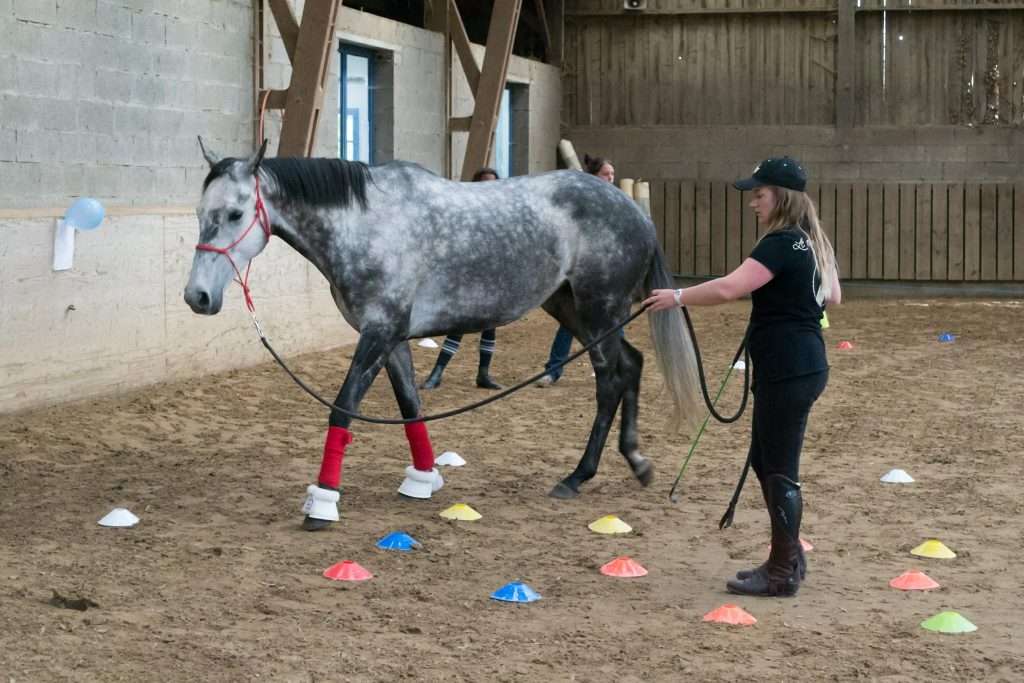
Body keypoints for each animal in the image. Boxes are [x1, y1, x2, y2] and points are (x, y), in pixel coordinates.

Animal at [184, 141, 700, 532]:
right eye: (200, 213)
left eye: (235, 214)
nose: (198, 296)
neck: (367, 224)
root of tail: (634, 210)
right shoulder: (392, 339)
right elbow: (411, 407)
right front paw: (422, 479)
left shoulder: (378, 333)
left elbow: (343, 408)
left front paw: (324, 503)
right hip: (572, 309)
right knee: (630, 366)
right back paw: (636, 461)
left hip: (599, 311)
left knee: (610, 380)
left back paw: (578, 476)